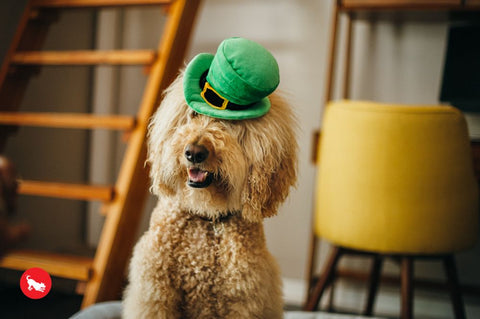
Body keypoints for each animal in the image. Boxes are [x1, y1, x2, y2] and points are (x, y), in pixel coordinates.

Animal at [123, 38, 296, 319]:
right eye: (192, 115)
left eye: (230, 124)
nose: (194, 152)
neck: (207, 219)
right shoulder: (154, 292)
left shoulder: (243, 300)